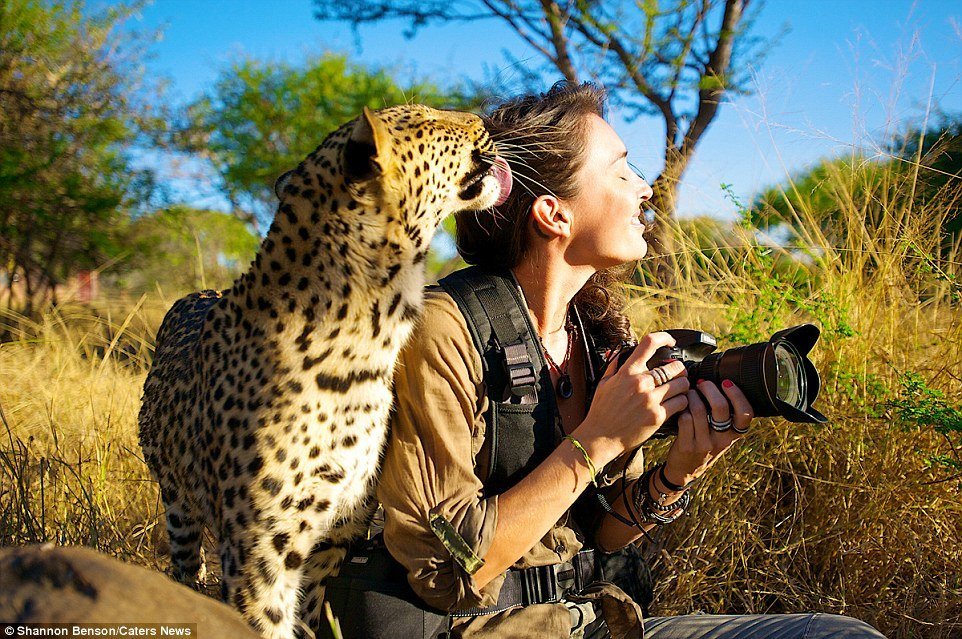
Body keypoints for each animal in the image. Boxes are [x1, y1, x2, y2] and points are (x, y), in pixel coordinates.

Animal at [137, 105, 510, 639]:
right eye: (427, 117)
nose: (482, 118)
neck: (374, 330)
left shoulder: (334, 536)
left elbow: (308, 621)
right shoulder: (258, 555)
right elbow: (267, 622)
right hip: (176, 503)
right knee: (184, 564)